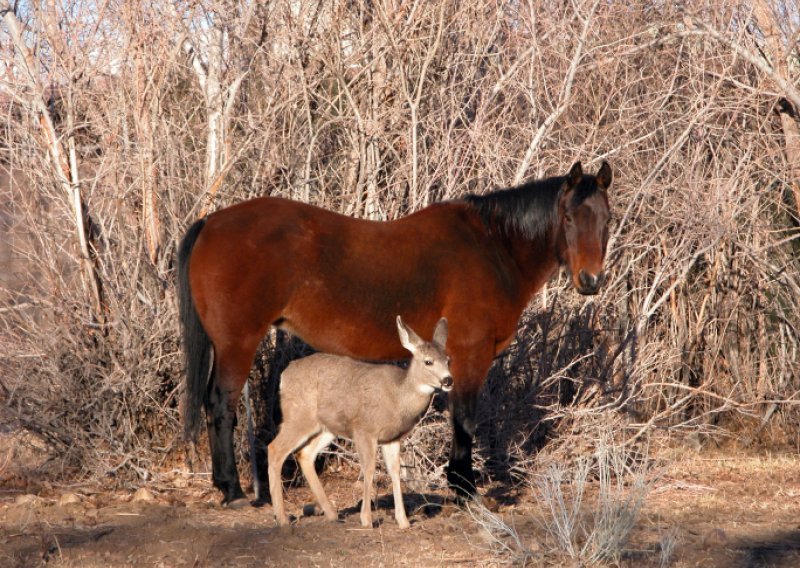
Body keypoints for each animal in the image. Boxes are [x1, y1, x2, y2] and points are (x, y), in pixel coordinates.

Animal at [175, 160, 612, 506]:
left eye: (607, 220)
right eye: (568, 219)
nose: (590, 281)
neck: (492, 247)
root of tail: (212, 222)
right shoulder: (470, 353)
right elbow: (465, 417)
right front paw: (464, 488)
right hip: (237, 343)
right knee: (221, 404)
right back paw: (233, 490)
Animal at [268, 316, 454, 528]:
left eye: (448, 360)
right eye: (428, 361)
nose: (448, 380)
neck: (398, 397)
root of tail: (284, 374)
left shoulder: (392, 438)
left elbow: (395, 471)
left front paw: (403, 521)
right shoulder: (365, 429)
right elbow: (369, 468)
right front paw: (367, 519)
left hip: (326, 427)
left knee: (304, 454)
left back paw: (332, 514)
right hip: (299, 415)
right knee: (275, 449)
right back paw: (282, 518)